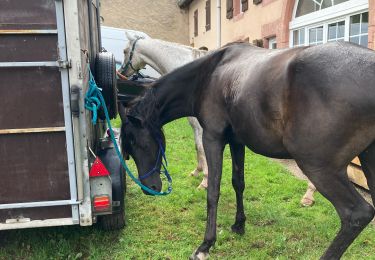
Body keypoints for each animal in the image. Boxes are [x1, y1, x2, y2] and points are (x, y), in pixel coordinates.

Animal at [119, 32, 209, 189]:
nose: (121, 73)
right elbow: (197, 146)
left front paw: (205, 181)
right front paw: (197, 172)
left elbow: (201, 147)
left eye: (125, 51)